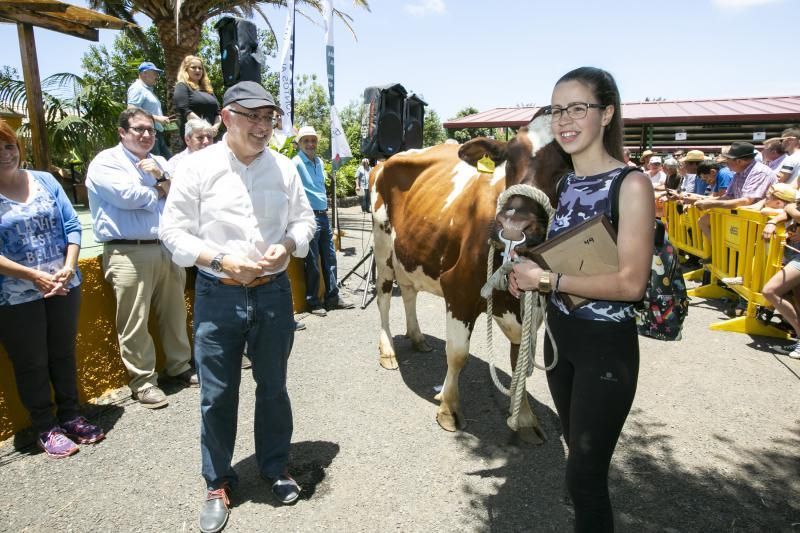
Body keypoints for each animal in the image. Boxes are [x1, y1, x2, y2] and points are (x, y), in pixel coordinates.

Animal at [372, 114, 564, 442]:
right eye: (509, 160)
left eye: (567, 166)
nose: (514, 227)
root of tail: (386, 160)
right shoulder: (458, 290)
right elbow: (458, 354)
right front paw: (448, 408)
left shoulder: (533, 305)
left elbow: (520, 360)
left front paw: (524, 416)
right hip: (382, 248)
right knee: (384, 300)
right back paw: (387, 350)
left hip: (410, 255)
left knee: (409, 293)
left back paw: (417, 337)